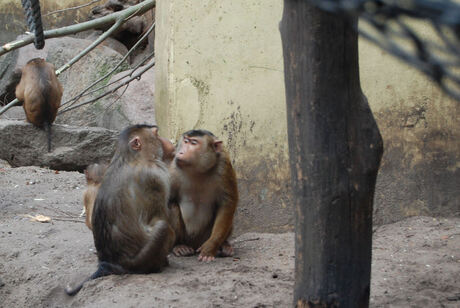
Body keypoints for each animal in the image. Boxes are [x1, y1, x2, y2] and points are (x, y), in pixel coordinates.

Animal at [65, 125, 177, 296]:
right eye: (157, 134)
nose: (168, 141)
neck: (130, 158)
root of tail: (108, 263)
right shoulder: (157, 176)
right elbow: (161, 214)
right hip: (140, 261)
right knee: (163, 228)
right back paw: (159, 265)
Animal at [170, 129, 241, 262]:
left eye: (193, 143)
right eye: (186, 141)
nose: (181, 152)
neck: (198, 170)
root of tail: (194, 244)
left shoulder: (224, 164)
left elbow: (227, 204)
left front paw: (210, 247)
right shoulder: (174, 168)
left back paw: (224, 245)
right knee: (172, 206)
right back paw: (179, 245)